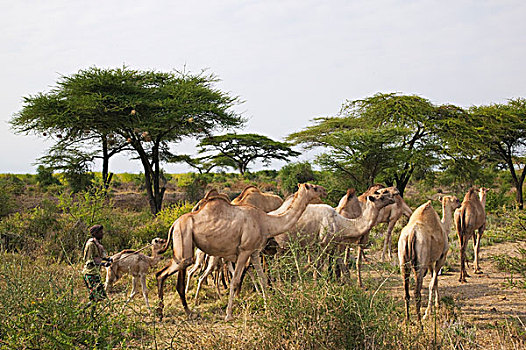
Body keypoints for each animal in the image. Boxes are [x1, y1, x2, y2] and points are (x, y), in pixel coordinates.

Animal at [156, 182, 326, 322]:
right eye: (313, 187)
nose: (323, 190)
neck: (265, 222)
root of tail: (174, 224)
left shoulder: (255, 252)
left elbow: (262, 279)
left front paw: (268, 309)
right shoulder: (244, 250)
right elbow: (235, 280)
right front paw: (228, 315)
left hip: (184, 247)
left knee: (165, 275)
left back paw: (171, 313)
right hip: (183, 243)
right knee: (162, 274)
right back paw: (168, 313)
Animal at [400, 194, 462, 322]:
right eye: (456, 200)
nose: (461, 204)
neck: (444, 227)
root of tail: (411, 234)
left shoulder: (430, 262)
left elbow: (435, 280)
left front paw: (437, 304)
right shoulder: (441, 257)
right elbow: (432, 284)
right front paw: (428, 312)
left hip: (403, 260)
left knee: (406, 291)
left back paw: (408, 320)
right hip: (420, 262)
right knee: (417, 292)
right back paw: (419, 322)